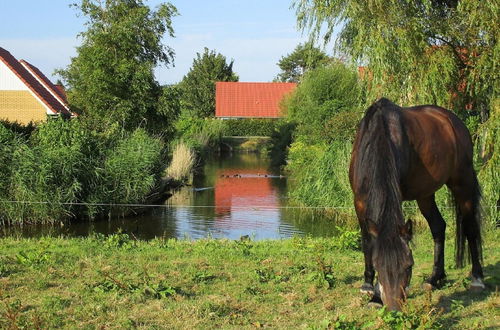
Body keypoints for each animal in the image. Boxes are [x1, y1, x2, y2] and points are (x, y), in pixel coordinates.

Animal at [348, 97, 484, 310]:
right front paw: (369, 287)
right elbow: (368, 243)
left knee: (470, 227)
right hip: (425, 195)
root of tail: (452, 119)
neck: (378, 137)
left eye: (409, 265)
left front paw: (376, 295)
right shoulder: (359, 202)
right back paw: (435, 278)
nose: (394, 307)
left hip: (462, 182)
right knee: (438, 227)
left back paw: (477, 278)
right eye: (378, 265)